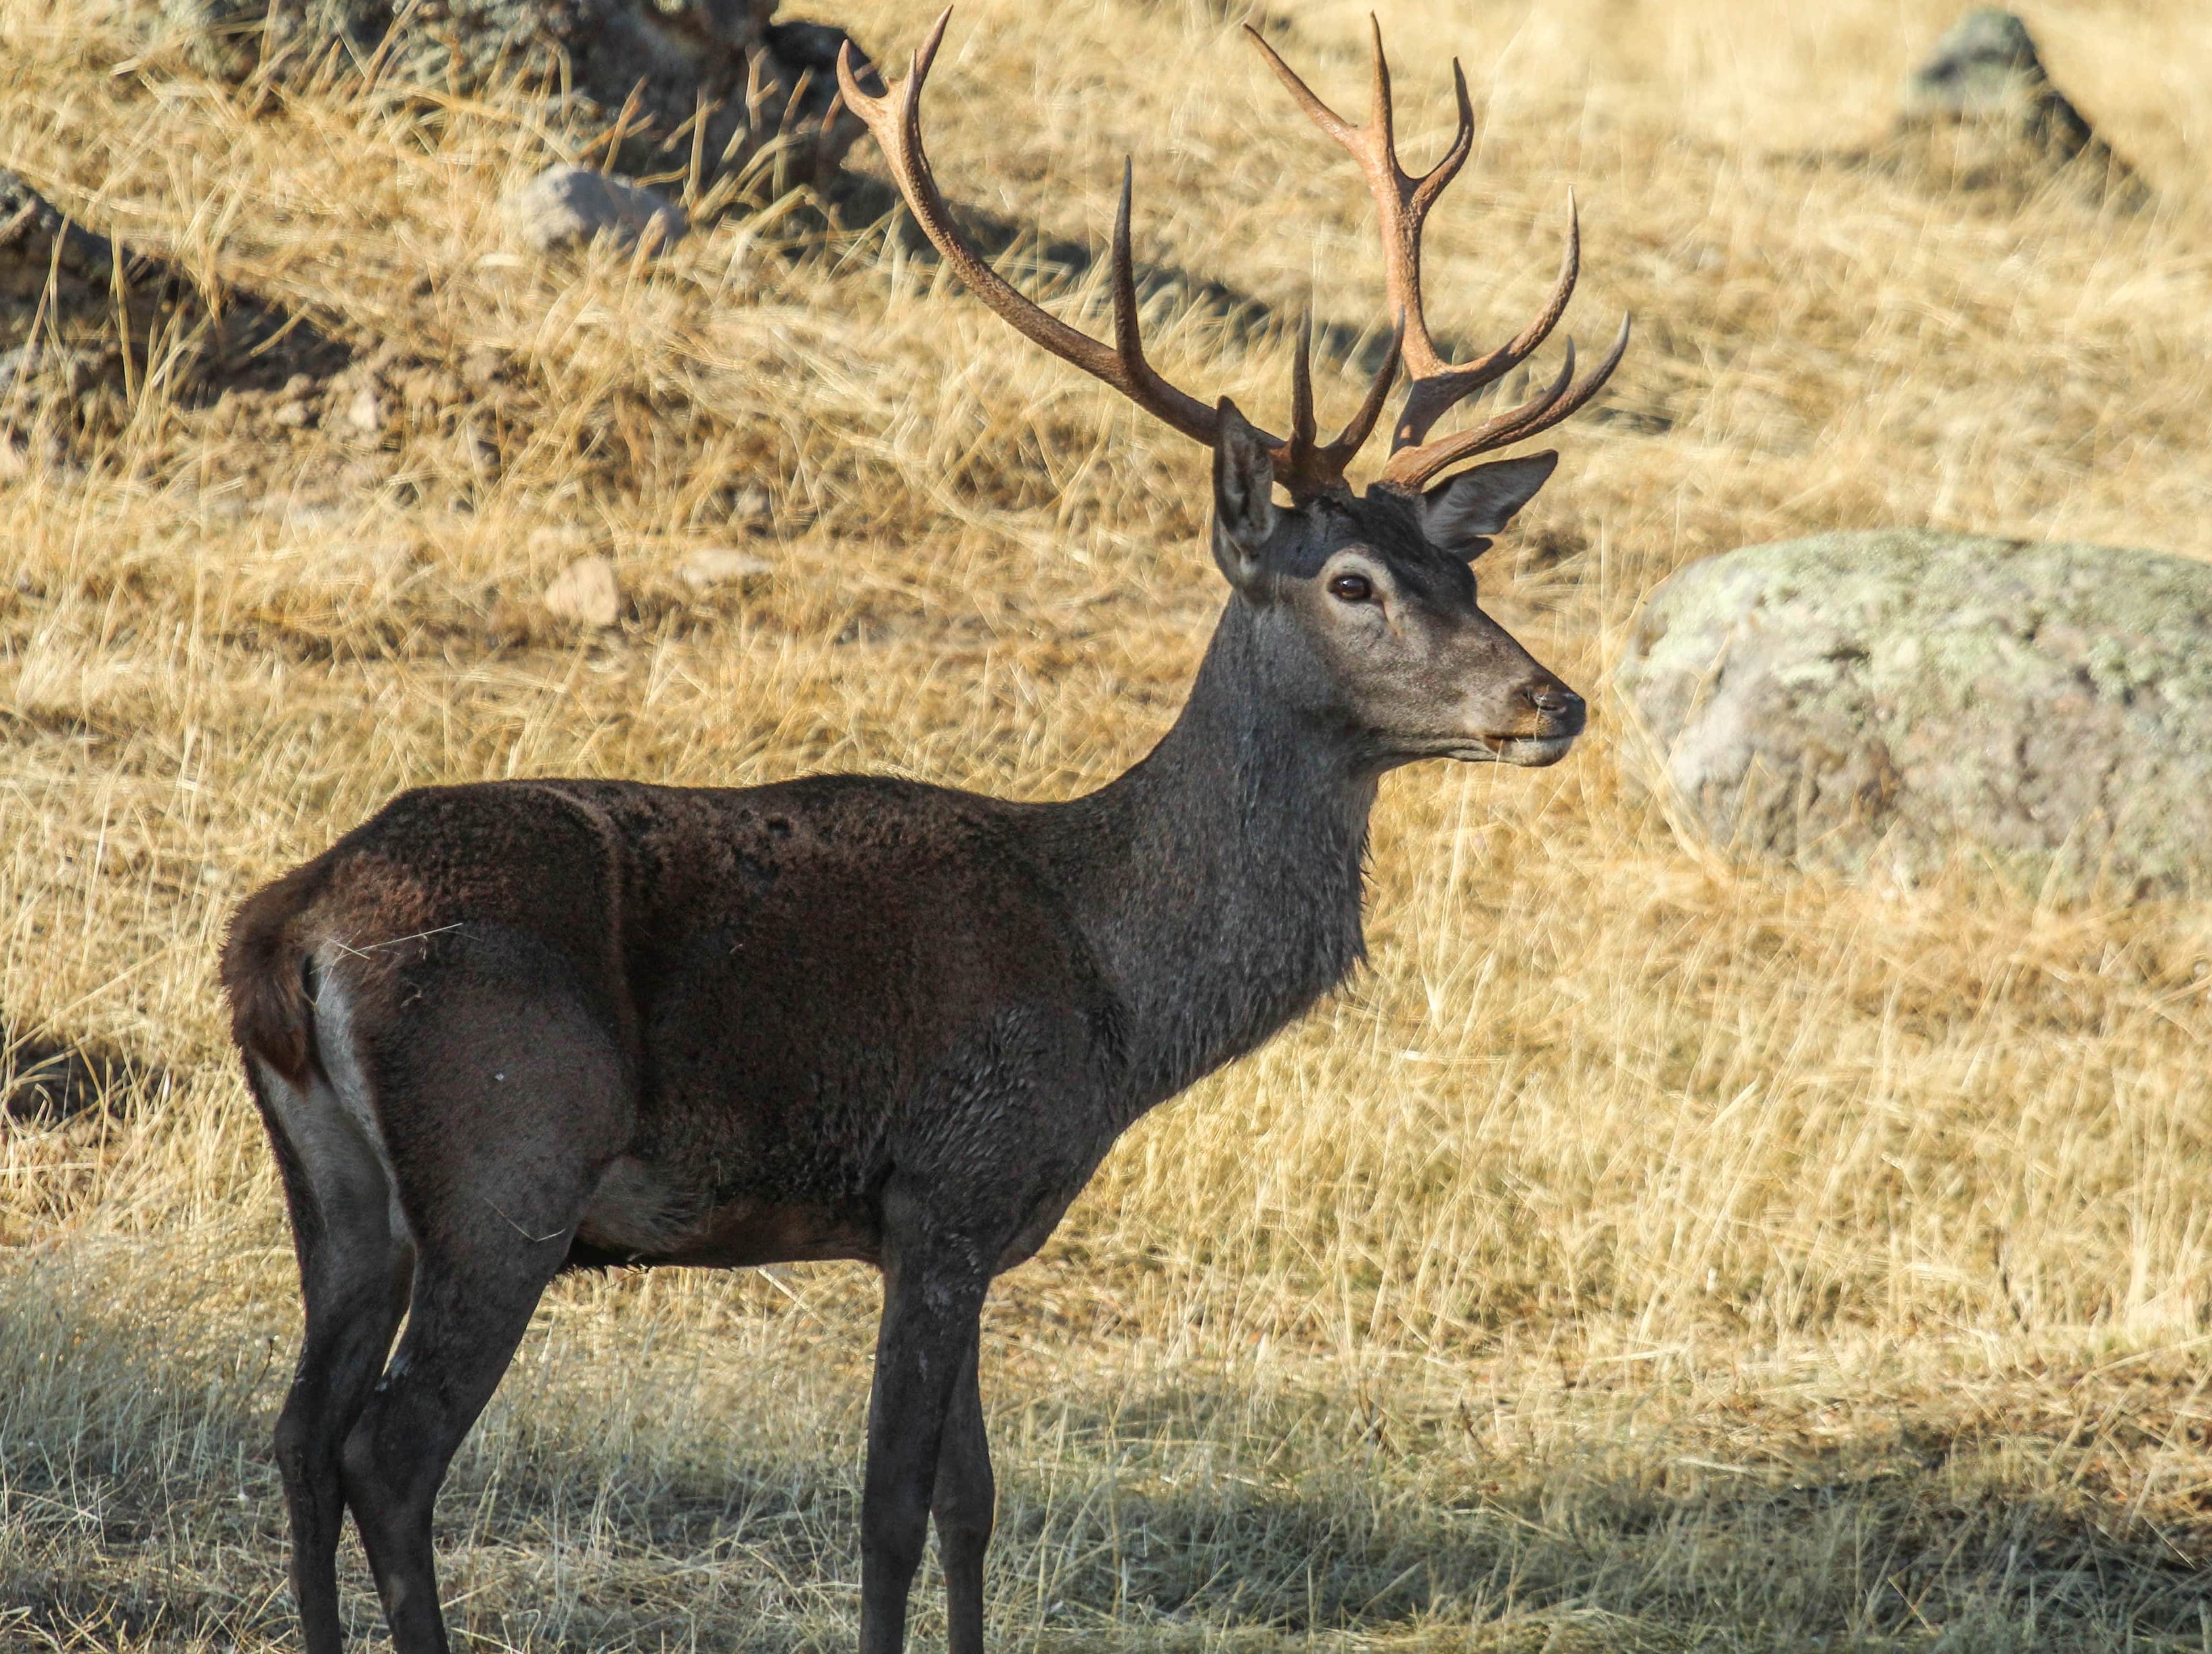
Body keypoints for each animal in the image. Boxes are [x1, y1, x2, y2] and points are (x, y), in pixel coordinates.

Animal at [219, 12, 1627, 1652]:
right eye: (1350, 582)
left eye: (1461, 572)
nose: (1551, 699)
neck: (1114, 991)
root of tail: (288, 925)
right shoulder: (948, 1181)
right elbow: (891, 1508)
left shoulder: (964, 1226)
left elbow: (974, 1504)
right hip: (510, 1148)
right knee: (387, 1449)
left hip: (338, 1188)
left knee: (296, 1431)